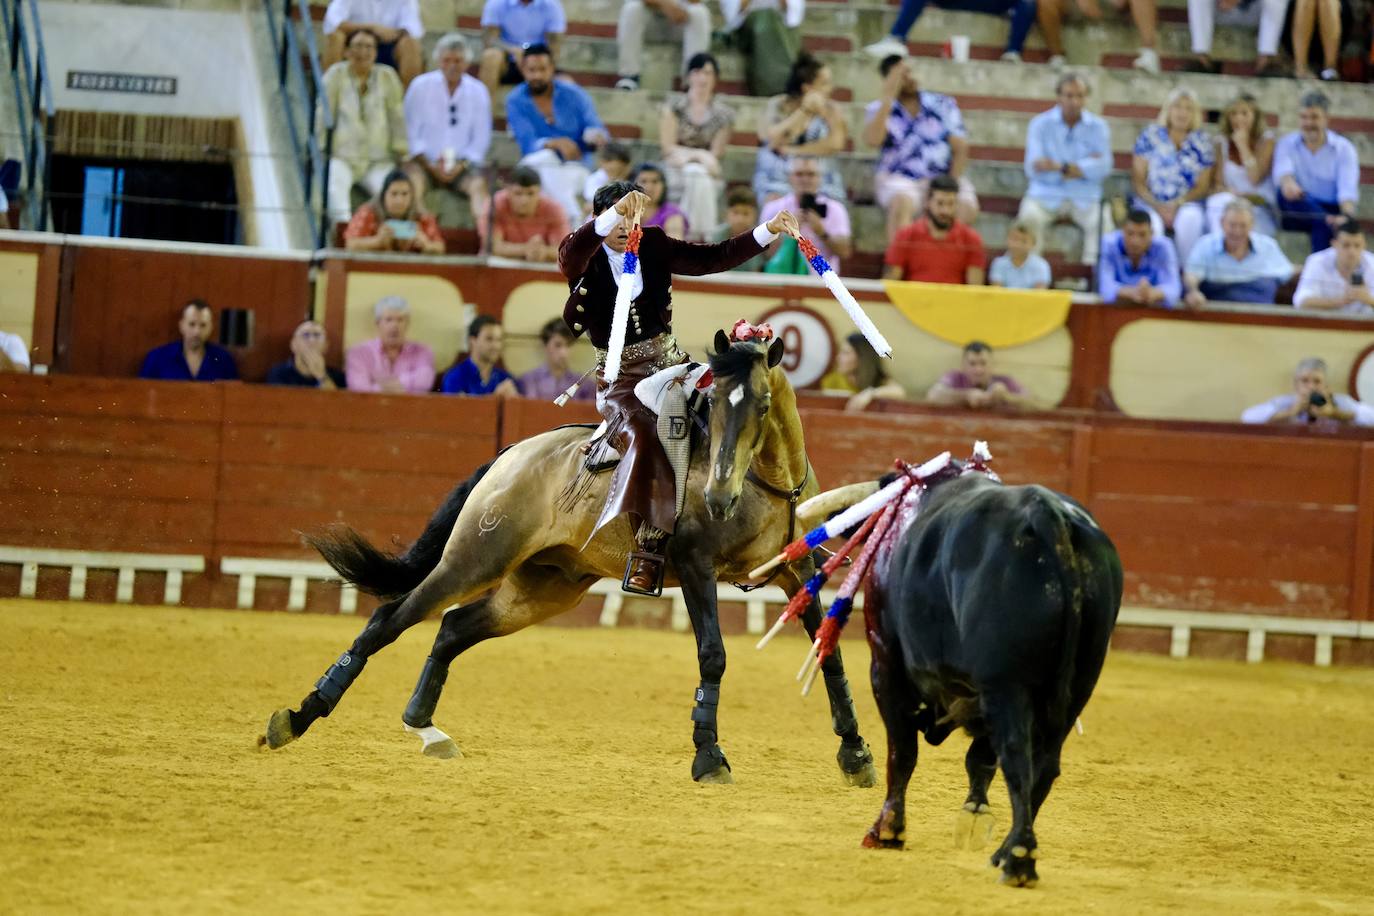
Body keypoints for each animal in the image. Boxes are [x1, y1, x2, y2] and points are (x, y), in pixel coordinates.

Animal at [258, 330, 879, 791]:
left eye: (765, 405)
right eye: (713, 408)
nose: (718, 497)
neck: (764, 482)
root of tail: (510, 455)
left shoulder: (798, 571)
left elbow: (828, 651)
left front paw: (855, 752)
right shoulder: (696, 567)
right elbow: (713, 654)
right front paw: (709, 756)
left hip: (542, 589)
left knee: (454, 627)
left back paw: (426, 728)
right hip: (475, 557)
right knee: (392, 618)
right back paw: (299, 716)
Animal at [862, 469, 1121, 884]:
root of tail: (1046, 512)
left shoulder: (885, 664)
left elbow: (902, 753)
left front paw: (888, 831)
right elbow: (979, 759)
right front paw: (974, 815)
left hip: (1005, 683)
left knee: (1016, 756)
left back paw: (1018, 859)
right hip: (1078, 684)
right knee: (1042, 765)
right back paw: (1007, 851)